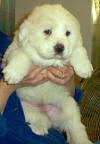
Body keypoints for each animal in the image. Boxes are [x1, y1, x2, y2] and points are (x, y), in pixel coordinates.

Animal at [2, 3, 93, 144]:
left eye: (68, 33)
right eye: (47, 31)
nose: (60, 47)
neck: (48, 62)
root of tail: (50, 116)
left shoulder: (75, 48)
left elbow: (79, 51)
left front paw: (85, 68)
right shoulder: (15, 49)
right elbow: (22, 54)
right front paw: (13, 73)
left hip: (70, 107)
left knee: (76, 128)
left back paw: (83, 141)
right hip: (26, 108)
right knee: (40, 118)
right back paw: (39, 128)